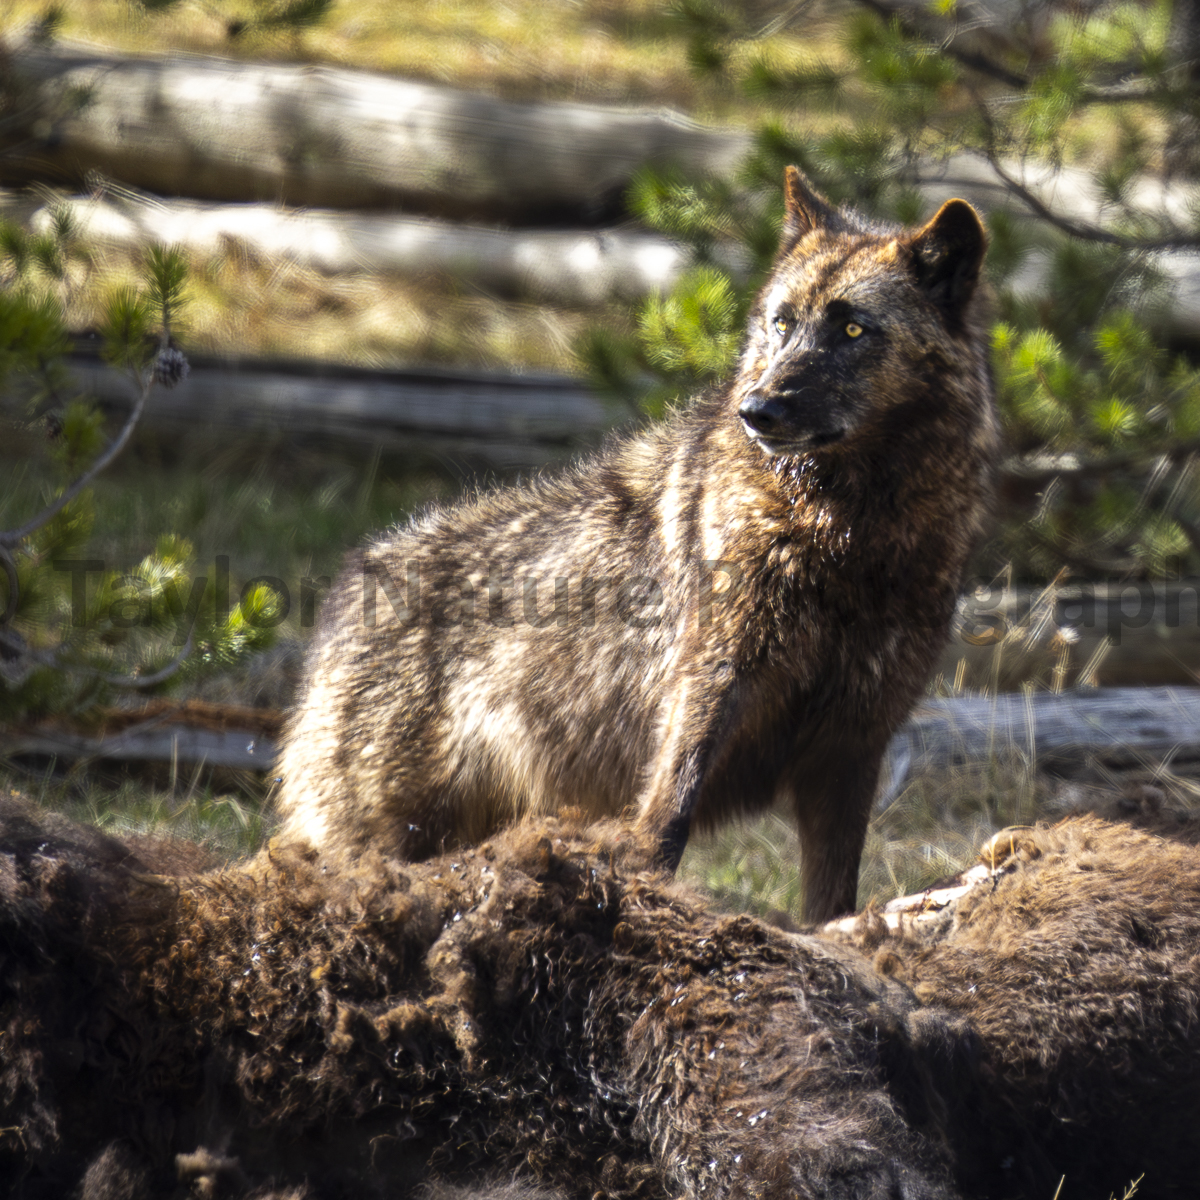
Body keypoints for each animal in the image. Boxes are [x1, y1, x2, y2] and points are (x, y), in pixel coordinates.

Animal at [274, 167, 999, 922]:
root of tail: (349, 587)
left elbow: (833, 900)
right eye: (782, 323)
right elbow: (664, 825)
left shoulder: (853, 747)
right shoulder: (707, 695)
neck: (848, 534)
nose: (757, 411)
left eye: (853, 327)